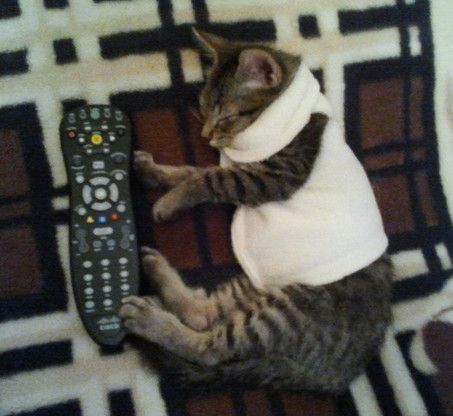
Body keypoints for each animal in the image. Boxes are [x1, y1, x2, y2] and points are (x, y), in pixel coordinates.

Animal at [119, 29, 393, 394]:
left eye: (226, 117)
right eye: (203, 108)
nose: (207, 134)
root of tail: (337, 374)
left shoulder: (271, 177)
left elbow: (208, 177)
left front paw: (168, 201)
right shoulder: (248, 172)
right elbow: (193, 171)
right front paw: (155, 173)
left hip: (284, 311)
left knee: (208, 348)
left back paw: (147, 319)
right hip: (255, 287)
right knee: (204, 314)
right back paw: (154, 271)